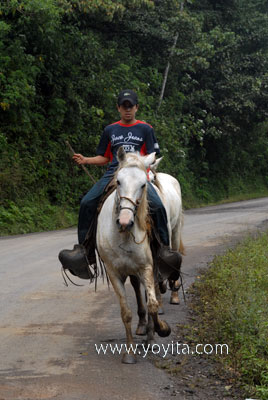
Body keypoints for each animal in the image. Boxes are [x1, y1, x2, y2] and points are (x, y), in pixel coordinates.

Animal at [95, 148, 183, 364]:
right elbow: (126, 312)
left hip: (174, 234)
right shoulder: (114, 273)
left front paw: (160, 330)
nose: (125, 221)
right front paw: (129, 352)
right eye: (118, 181)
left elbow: (152, 304)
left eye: (144, 184)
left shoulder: (146, 267)